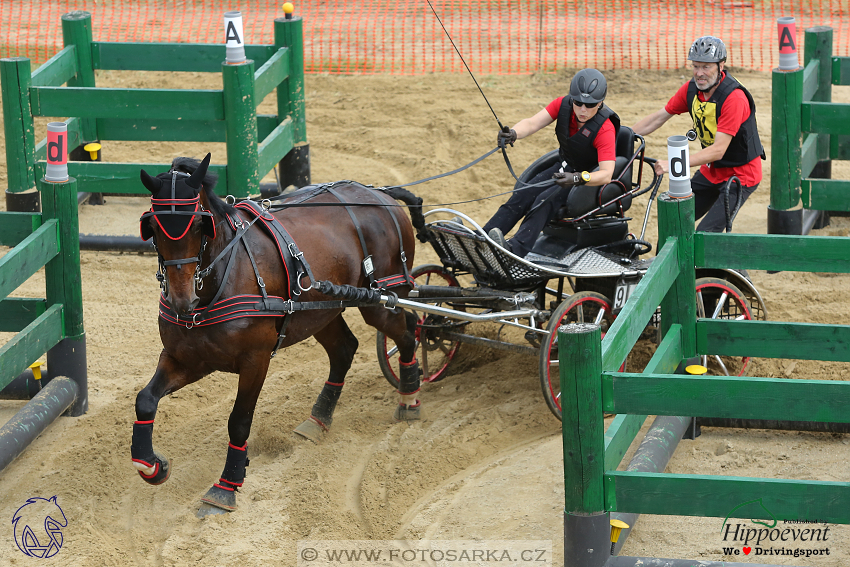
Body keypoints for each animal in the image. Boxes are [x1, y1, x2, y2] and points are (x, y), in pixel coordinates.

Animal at [131, 154, 422, 516]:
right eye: (153, 227)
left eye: (199, 225)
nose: (181, 300)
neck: (222, 280)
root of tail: (379, 193)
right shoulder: (187, 359)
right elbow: (145, 400)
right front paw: (150, 465)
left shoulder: (255, 360)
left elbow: (239, 420)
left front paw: (226, 487)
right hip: (319, 312)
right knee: (345, 349)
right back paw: (319, 418)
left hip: (381, 300)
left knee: (407, 332)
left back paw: (410, 398)